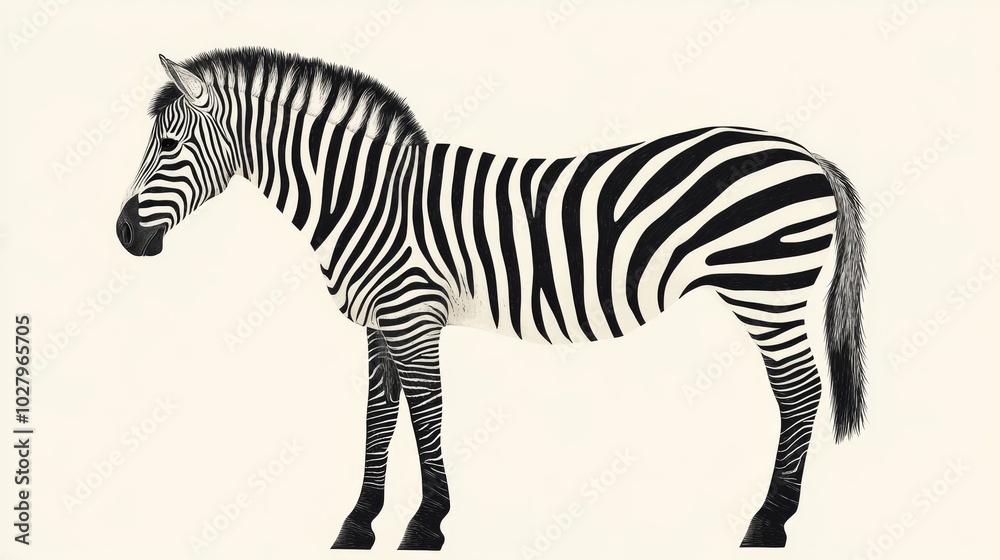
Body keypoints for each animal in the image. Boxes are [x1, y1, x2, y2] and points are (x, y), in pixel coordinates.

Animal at [115, 48, 866, 551]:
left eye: (171, 145)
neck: (366, 199)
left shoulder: (411, 312)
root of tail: (805, 152)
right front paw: (358, 523)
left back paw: (769, 522)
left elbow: (427, 416)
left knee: (800, 391)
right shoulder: (379, 323)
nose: (124, 235)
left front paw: (426, 525)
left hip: (766, 288)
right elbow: (377, 419)